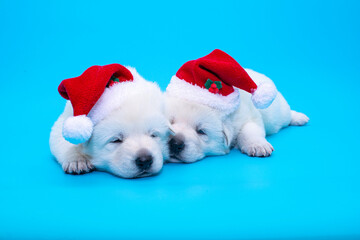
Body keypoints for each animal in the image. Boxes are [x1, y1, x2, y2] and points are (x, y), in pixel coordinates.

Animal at [165, 49, 308, 164]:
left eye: (201, 131)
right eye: (170, 123)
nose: (175, 143)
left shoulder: (249, 117)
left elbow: (249, 130)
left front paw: (257, 145)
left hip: (279, 113)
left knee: (287, 115)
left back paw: (300, 117)